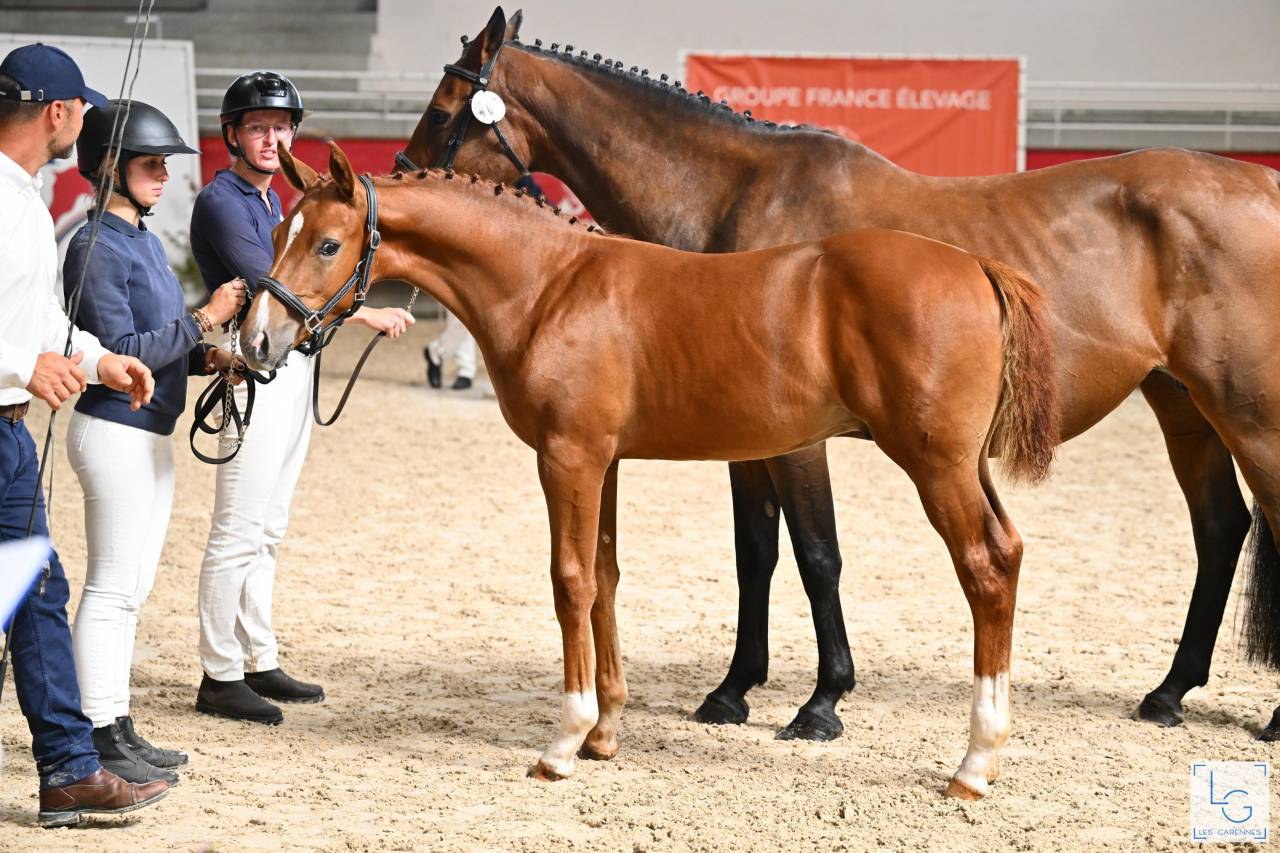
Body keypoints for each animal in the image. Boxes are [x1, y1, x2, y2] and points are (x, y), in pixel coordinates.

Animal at [241, 141, 1059, 797]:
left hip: (935, 466)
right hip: (965, 466)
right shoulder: (601, 461)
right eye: (280, 230)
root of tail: (976, 266)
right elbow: (604, 577)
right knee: (1011, 553)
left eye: (328, 244)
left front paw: (564, 741)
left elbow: (569, 581)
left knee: (985, 568)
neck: (551, 286)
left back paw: (974, 763)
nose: (256, 341)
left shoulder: (567, 458)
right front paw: (605, 732)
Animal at [397, 6, 1280, 742]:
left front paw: (821, 701)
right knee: (1219, 529)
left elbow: (818, 554)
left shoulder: (796, 441)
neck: (735, 195)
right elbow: (756, 552)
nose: (401, 174)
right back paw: (1168, 692)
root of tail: (1263, 182)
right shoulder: (745, 441)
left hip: (1250, 417)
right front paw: (733, 689)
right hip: (1183, 406)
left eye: (443, 110)